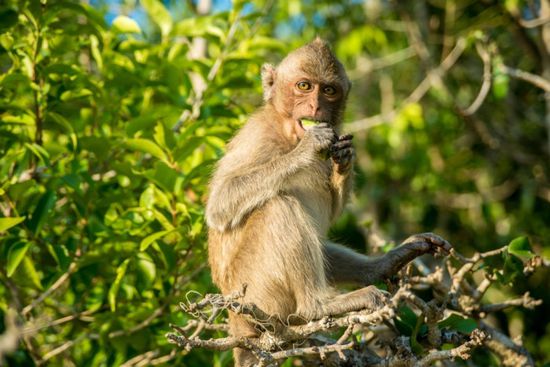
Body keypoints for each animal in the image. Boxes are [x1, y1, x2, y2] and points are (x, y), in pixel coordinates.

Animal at [207, 38, 452, 366]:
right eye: (304, 86)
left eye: (329, 90)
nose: (315, 106)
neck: (289, 133)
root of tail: (237, 323)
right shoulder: (257, 137)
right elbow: (221, 204)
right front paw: (309, 148)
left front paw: (344, 160)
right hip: (255, 294)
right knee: (277, 206)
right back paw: (318, 306)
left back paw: (381, 267)